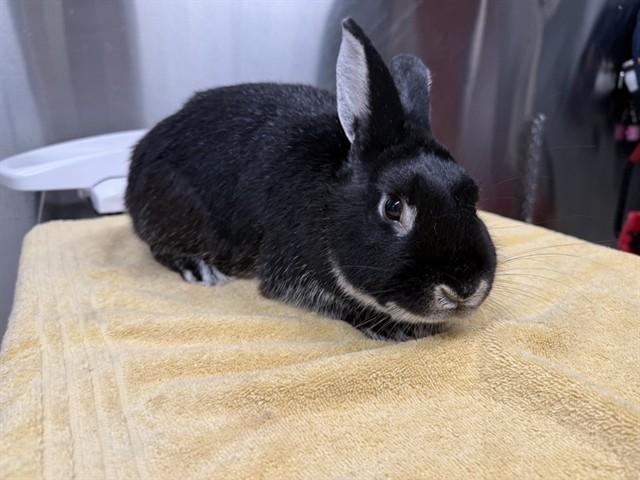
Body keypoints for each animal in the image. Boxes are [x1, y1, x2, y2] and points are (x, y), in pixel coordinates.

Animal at [125, 18, 497, 341]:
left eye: (473, 196)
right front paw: (394, 330)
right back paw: (202, 269)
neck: (329, 202)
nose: (464, 288)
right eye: (393, 207)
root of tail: (141, 155)